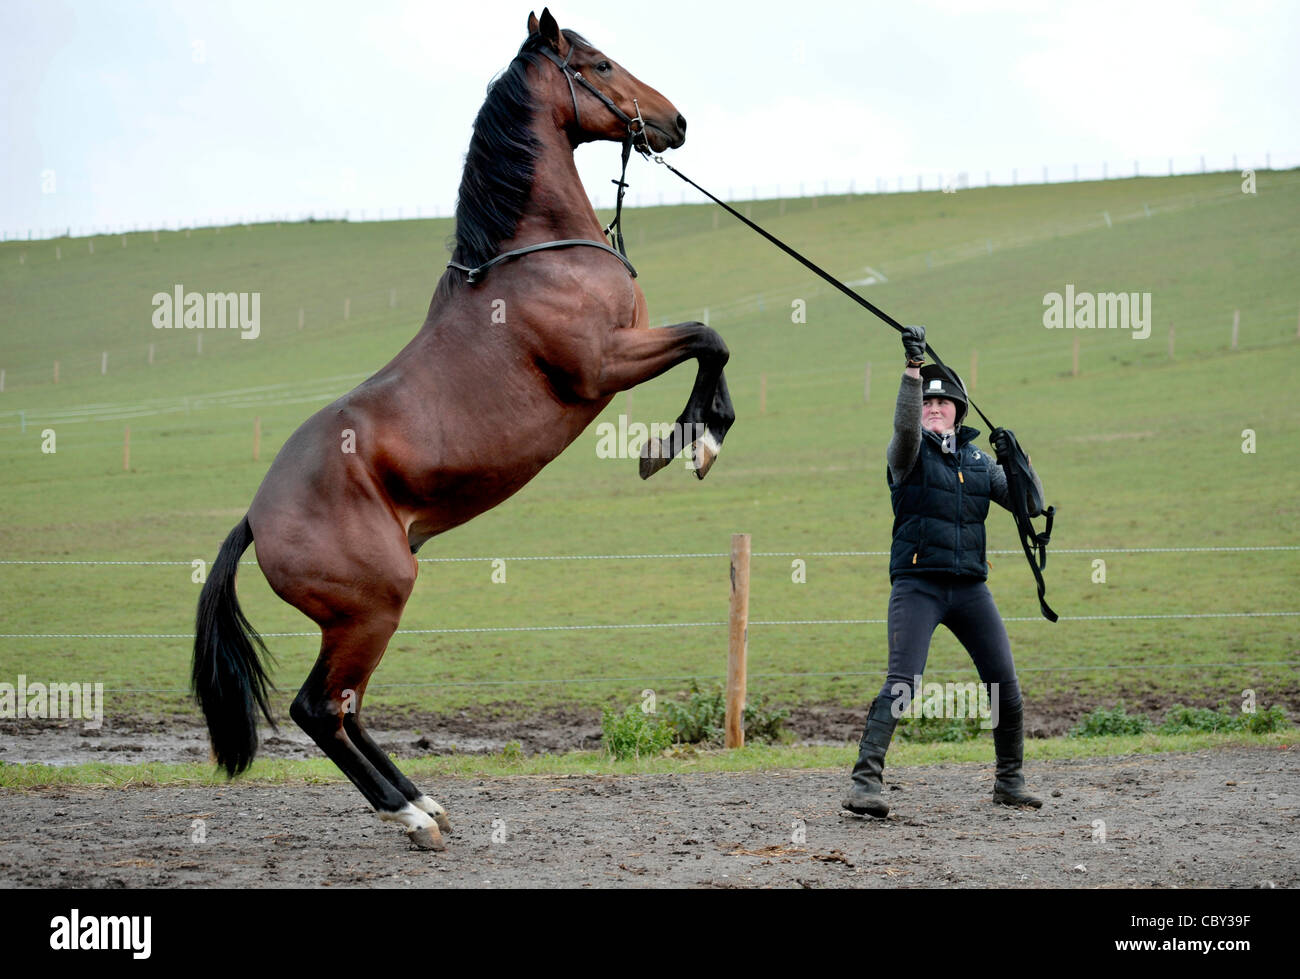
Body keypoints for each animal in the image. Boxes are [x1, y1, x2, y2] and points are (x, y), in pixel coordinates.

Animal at [189, 9, 738, 847]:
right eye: (600, 64)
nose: (675, 122)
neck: (534, 260)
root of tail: (257, 516)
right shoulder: (605, 365)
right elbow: (710, 338)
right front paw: (685, 443)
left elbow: (713, 346)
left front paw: (696, 434)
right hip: (375, 604)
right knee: (319, 709)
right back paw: (410, 814)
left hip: (361, 616)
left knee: (346, 709)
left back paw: (424, 799)